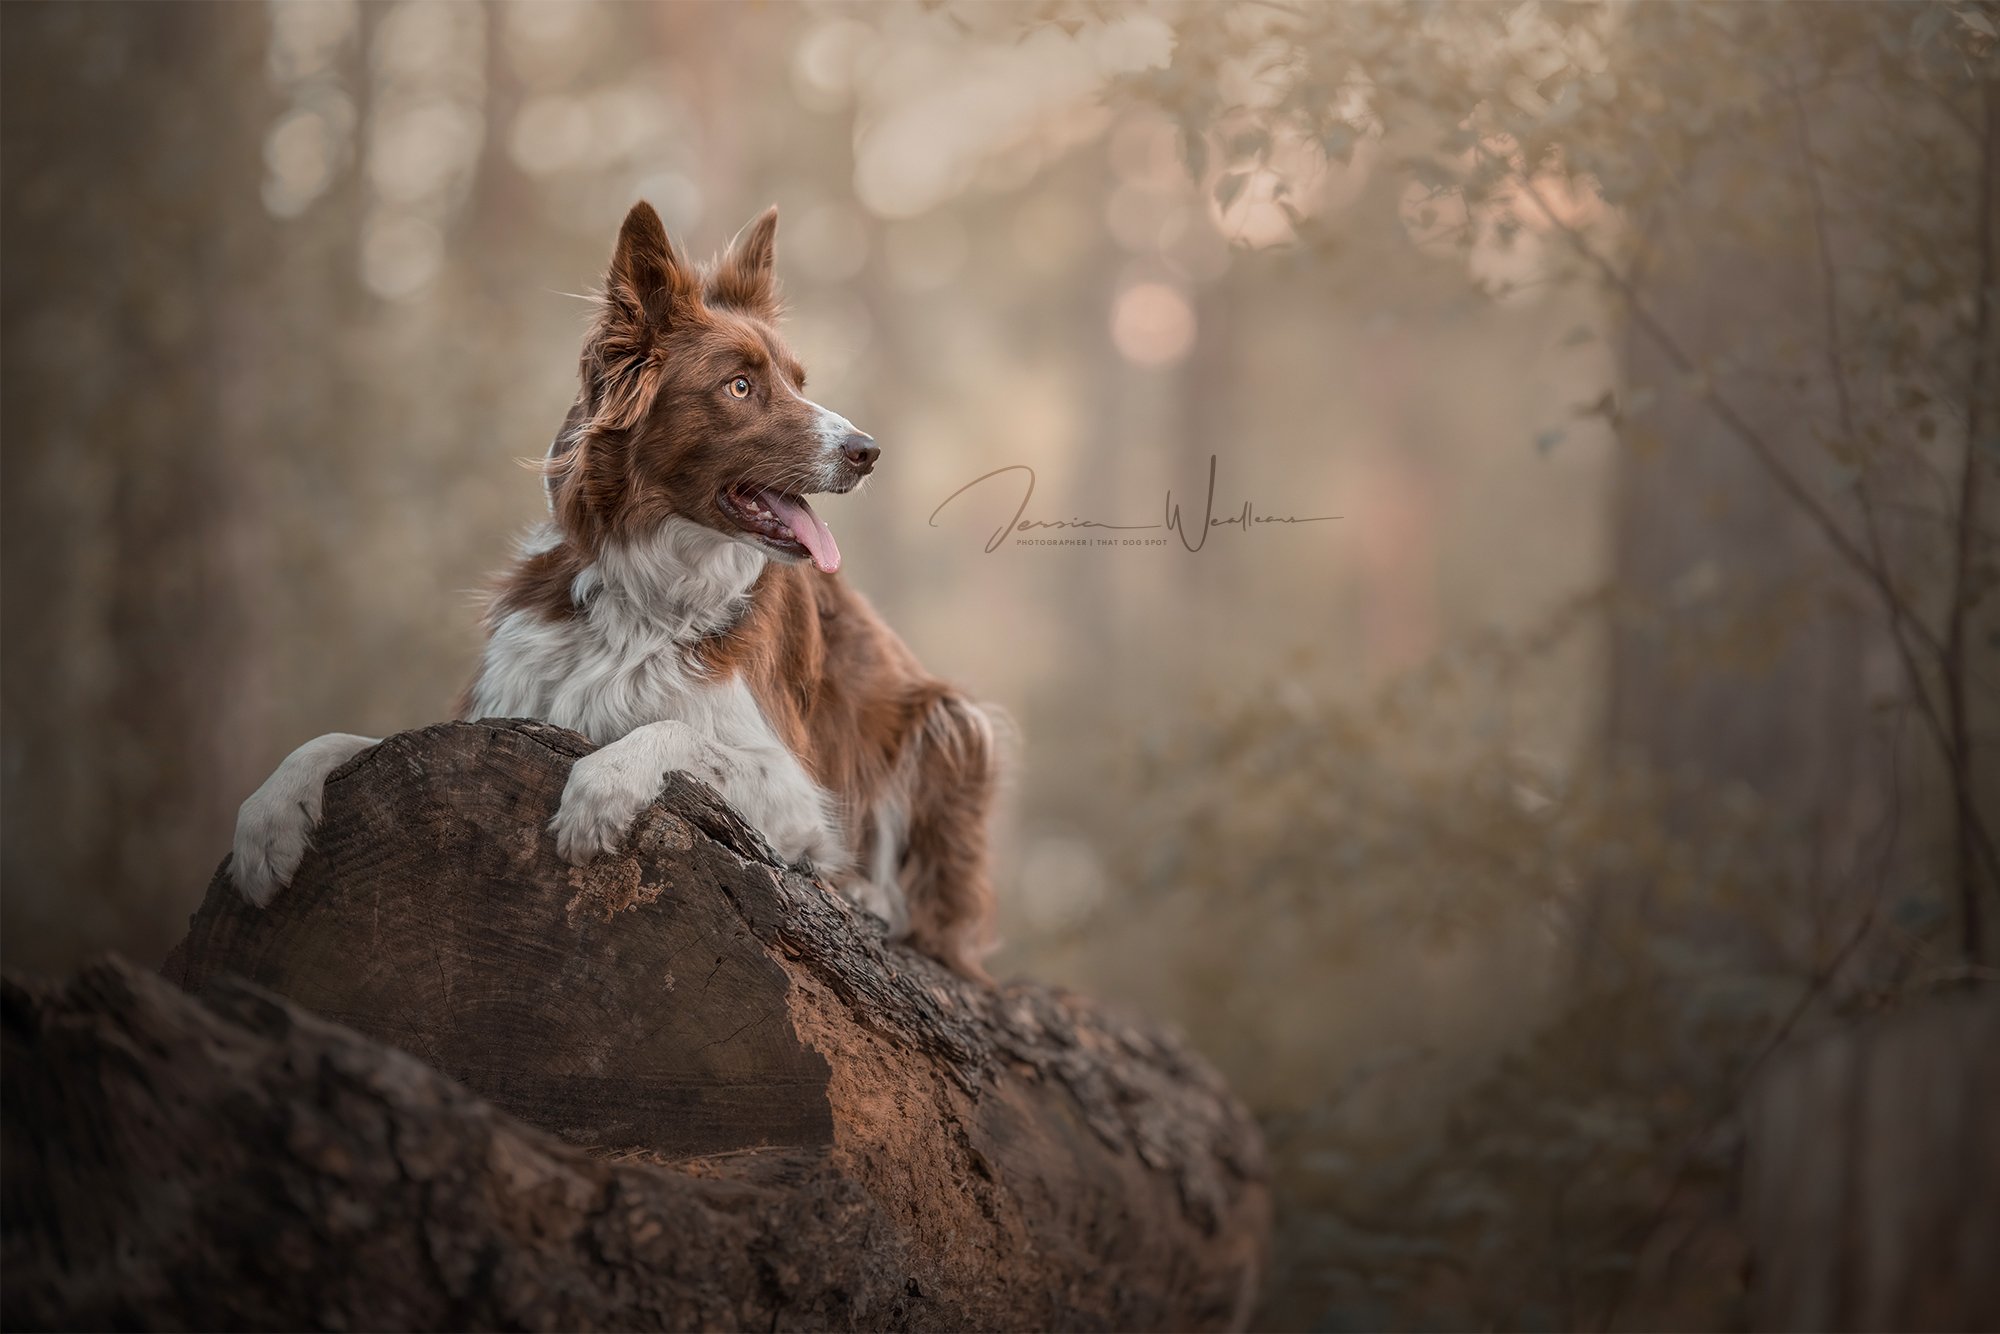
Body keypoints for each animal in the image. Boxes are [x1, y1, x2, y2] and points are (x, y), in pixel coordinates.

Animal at [236, 201, 1008, 980]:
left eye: (797, 380)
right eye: (740, 386)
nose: (868, 452)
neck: (648, 589)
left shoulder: (798, 792)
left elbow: (678, 732)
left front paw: (600, 789)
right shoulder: (499, 707)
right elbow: (343, 738)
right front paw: (266, 821)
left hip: (949, 719)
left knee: (938, 921)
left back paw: (872, 896)